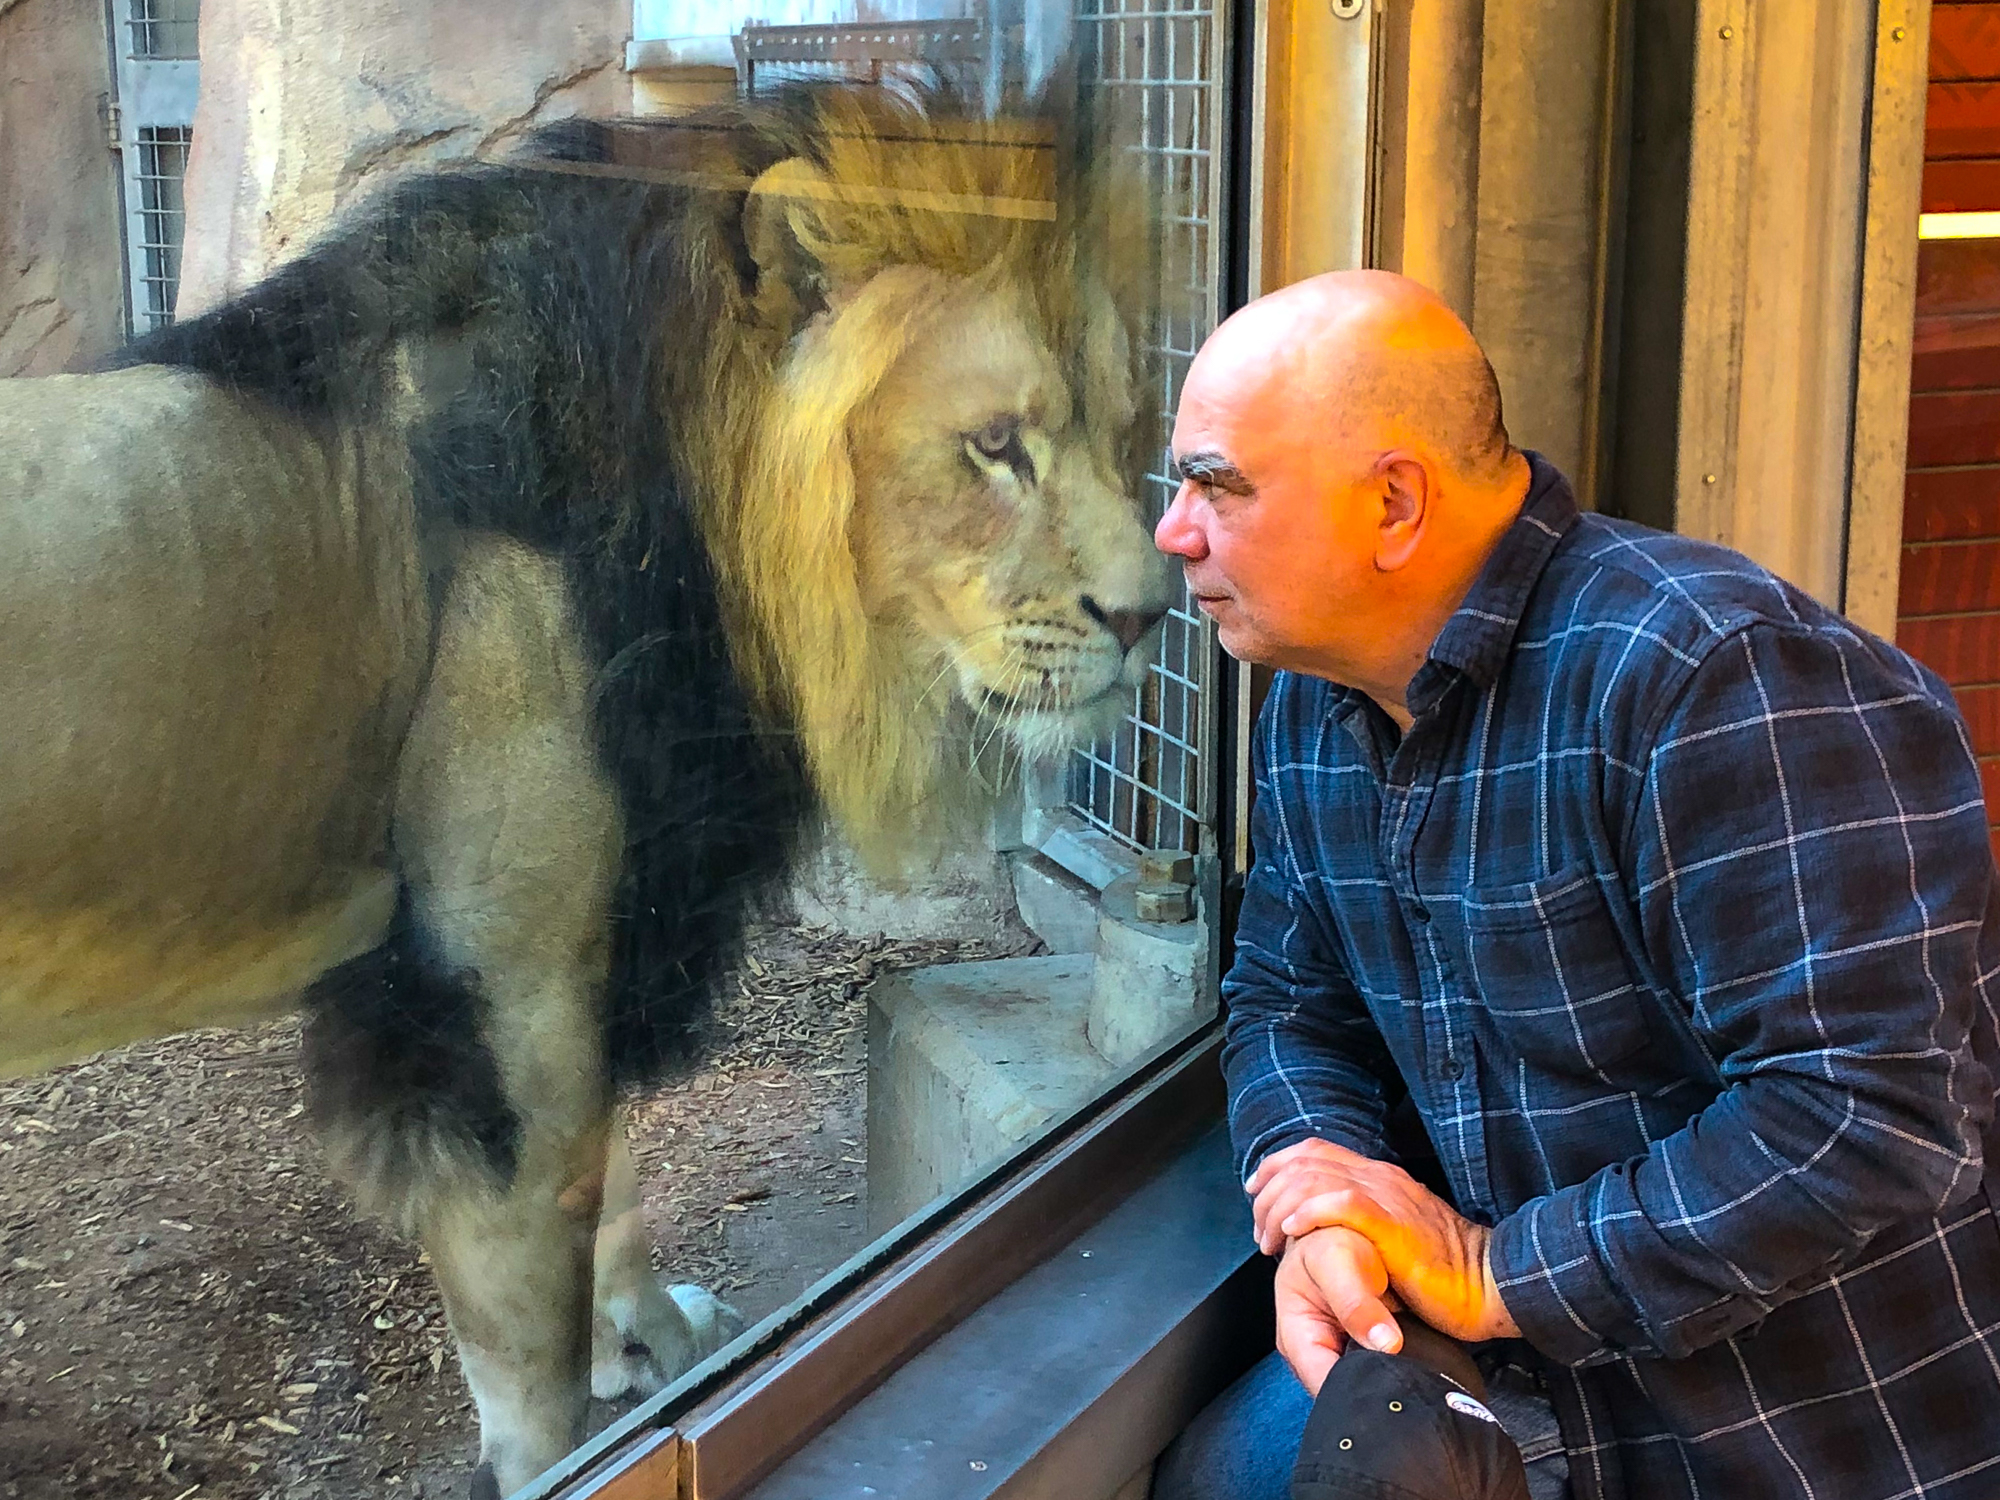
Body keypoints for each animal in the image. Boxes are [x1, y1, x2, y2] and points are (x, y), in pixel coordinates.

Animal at [0, 84, 1170, 1496]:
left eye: (1122, 430)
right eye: (995, 448)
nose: (1154, 614)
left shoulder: (608, 936)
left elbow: (610, 1182)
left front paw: (647, 1338)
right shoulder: (503, 982)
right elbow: (529, 1314)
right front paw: (562, 1441)